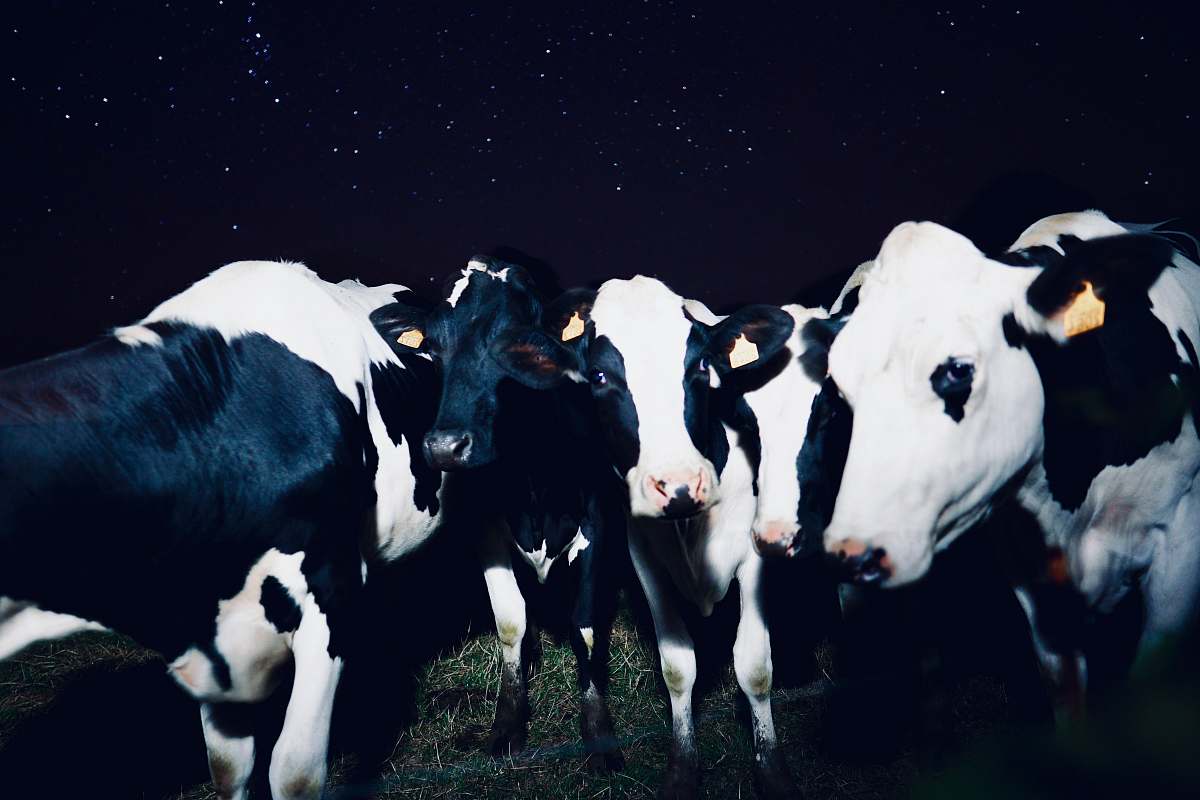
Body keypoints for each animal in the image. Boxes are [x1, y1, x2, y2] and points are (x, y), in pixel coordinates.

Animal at [367, 260, 628, 772]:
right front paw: (508, 724)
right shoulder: (485, 530)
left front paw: (599, 735)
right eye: (433, 346)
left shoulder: (597, 522)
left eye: (518, 345)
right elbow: (511, 621)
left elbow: (585, 628)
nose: (444, 447)